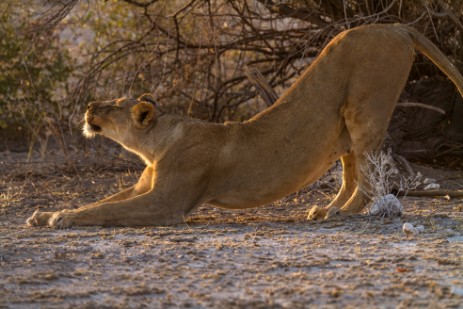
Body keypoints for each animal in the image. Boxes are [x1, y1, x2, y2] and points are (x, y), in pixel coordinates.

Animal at [26, 23, 463, 226]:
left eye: (115, 106)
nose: (88, 106)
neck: (155, 145)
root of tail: (396, 26)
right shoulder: (143, 186)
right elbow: (101, 202)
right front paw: (46, 214)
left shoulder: (167, 202)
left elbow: (109, 210)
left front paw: (64, 218)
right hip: (342, 123)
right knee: (352, 173)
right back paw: (325, 210)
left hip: (365, 104)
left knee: (371, 178)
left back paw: (342, 215)